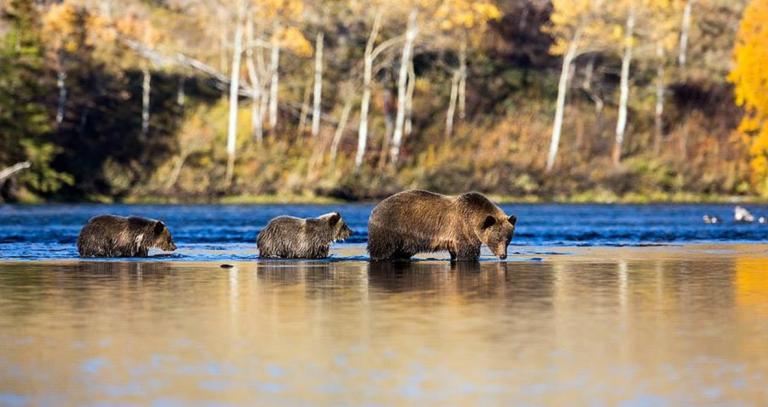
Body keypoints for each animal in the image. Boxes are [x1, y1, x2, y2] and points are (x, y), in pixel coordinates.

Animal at [367, 190, 516, 261]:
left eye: (508, 239)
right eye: (496, 238)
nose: (503, 255)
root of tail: (374, 209)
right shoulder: (463, 231)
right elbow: (467, 253)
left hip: (405, 241)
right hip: (391, 229)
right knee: (382, 250)